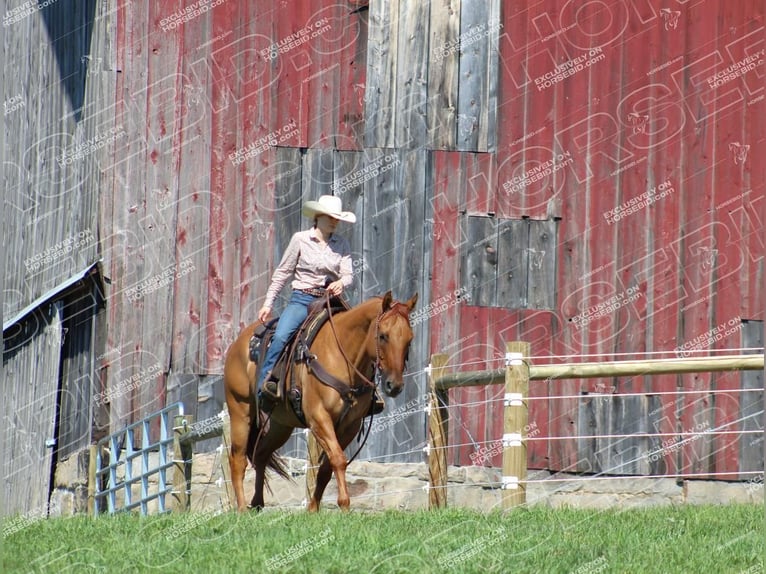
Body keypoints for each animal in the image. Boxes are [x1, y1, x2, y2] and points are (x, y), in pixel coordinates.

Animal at [224, 292, 420, 512]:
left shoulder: (350, 425)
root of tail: (238, 343)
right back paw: (242, 509)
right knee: (238, 460)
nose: (394, 385)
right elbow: (338, 459)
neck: (343, 356)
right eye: (383, 336)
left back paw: (257, 504)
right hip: (240, 411)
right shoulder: (319, 418)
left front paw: (313, 509)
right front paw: (344, 506)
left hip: (280, 424)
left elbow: (328, 466)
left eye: (409, 339)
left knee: (261, 454)